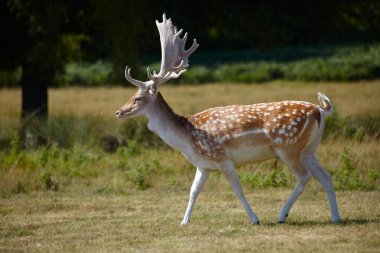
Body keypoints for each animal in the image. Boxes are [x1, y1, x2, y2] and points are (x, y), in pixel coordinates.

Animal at [116, 13, 342, 224]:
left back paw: (281, 215)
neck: (186, 138)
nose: (119, 112)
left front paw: (254, 219)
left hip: (288, 146)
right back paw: (335, 217)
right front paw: (184, 221)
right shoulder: (203, 164)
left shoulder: (222, 157)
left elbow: (237, 189)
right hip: (309, 148)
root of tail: (320, 110)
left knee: (304, 176)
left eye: (137, 98)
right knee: (326, 176)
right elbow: (193, 191)